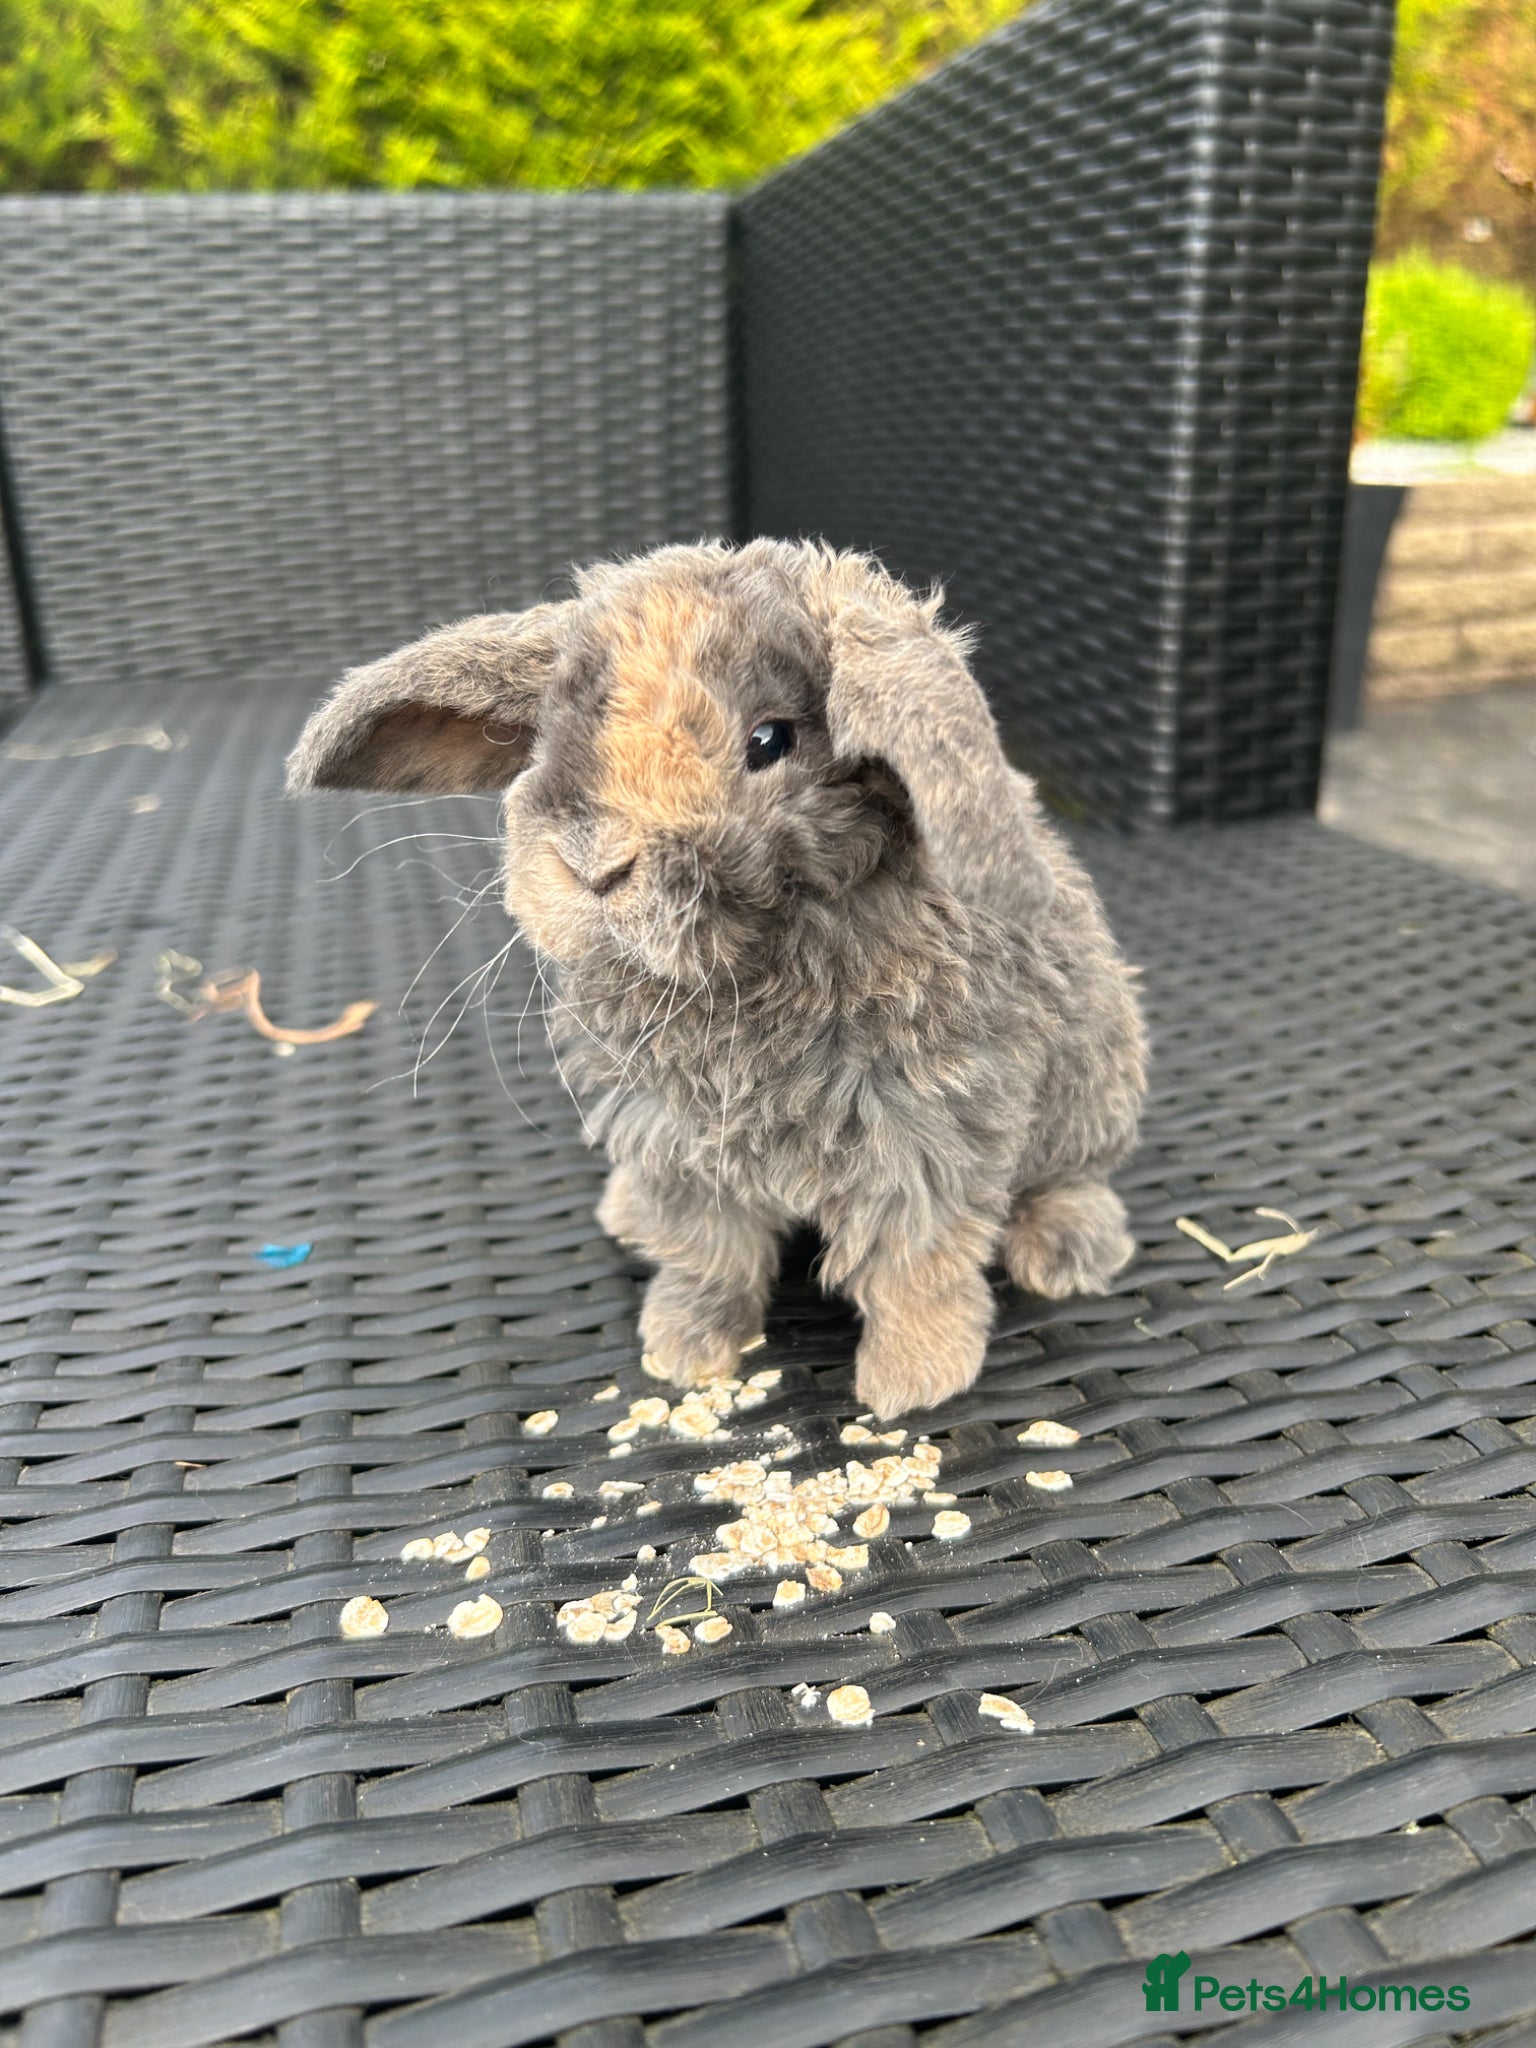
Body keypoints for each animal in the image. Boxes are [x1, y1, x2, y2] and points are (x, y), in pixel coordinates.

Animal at [287, 539, 1146, 1418]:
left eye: (770, 740)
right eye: (550, 734)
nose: (593, 866)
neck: (737, 968)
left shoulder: (924, 1138)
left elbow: (914, 1266)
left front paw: (913, 1382)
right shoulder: (675, 1142)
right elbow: (710, 1255)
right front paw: (685, 1349)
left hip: (1090, 1092)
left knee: (1068, 1178)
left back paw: (1069, 1252)